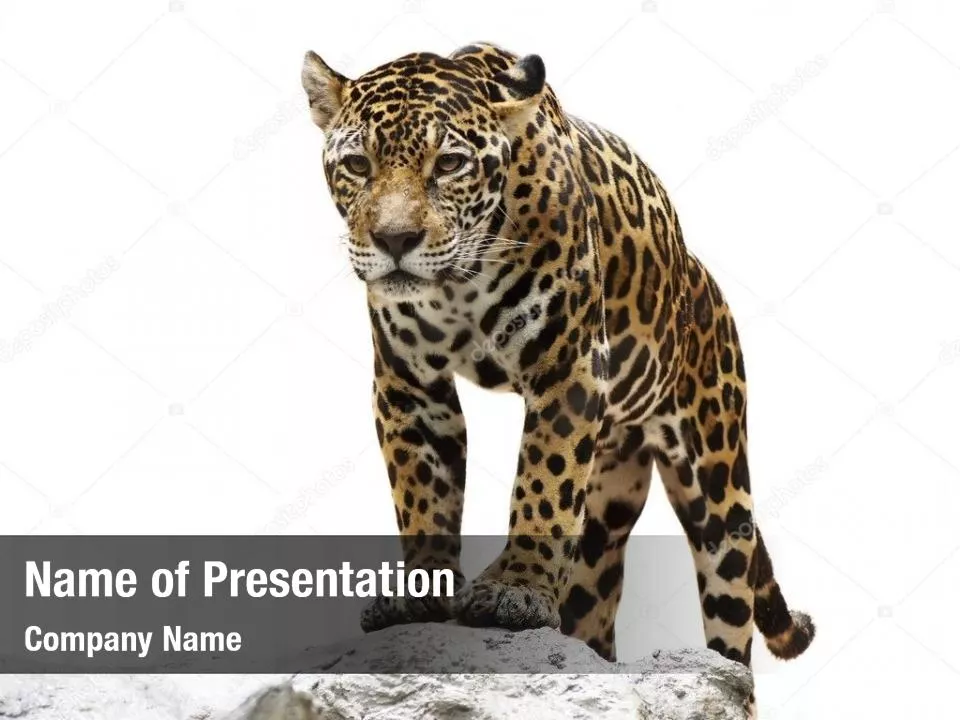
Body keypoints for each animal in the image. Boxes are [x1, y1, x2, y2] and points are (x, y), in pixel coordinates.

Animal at [301, 42, 815, 676]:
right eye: (357, 165)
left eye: (449, 164)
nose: (395, 241)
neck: (459, 283)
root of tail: (700, 277)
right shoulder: (408, 385)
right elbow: (421, 494)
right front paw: (418, 595)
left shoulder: (568, 367)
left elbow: (542, 480)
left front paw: (515, 589)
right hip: (606, 511)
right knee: (593, 606)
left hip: (719, 484)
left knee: (731, 618)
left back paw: (719, 672)